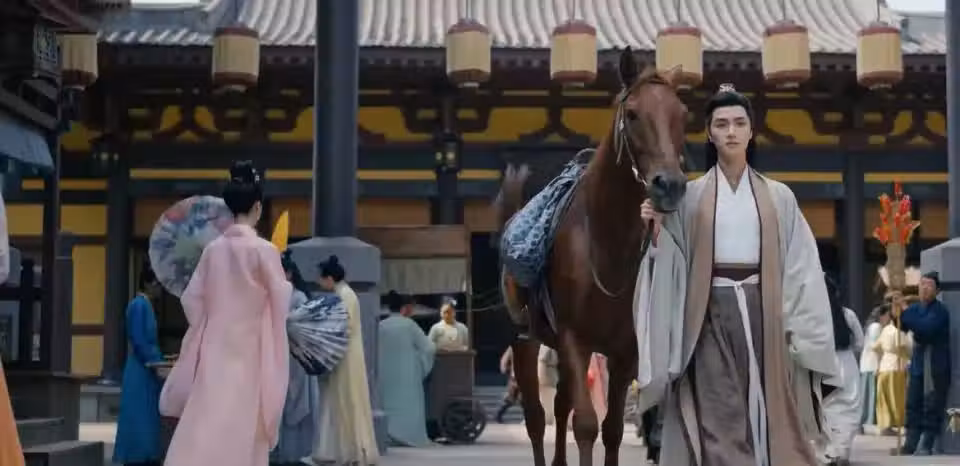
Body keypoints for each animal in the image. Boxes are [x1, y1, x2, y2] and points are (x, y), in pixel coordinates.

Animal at [497, 48, 689, 466]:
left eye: (682, 114)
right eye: (632, 114)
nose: (670, 185)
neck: (607, 241)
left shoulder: (625, 350)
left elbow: (612, 428)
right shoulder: (574, 337)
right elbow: (584, 425)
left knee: (560, 406)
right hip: (525, 339)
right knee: (536, 417)